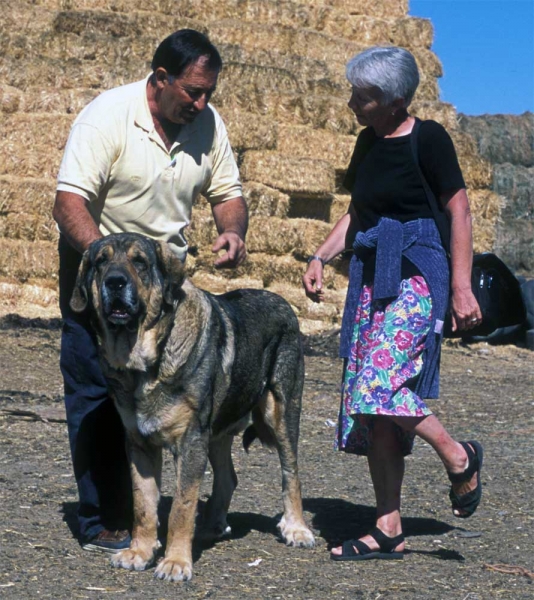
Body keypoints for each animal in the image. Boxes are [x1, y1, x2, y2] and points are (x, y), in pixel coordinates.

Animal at [69, 233, 316, 580]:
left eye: (139, 262)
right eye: (101, 262)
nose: (115, 282)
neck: (146, 363)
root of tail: (284, 303)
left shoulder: (190, 442)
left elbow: (181, 506)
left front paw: (175, 562)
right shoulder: (139, 444)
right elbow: (143, 504)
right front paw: (139, 552)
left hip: (279, 412)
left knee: (290, 472)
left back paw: (296, 529)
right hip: (217, 433)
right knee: (228, 478)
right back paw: (212, 526)